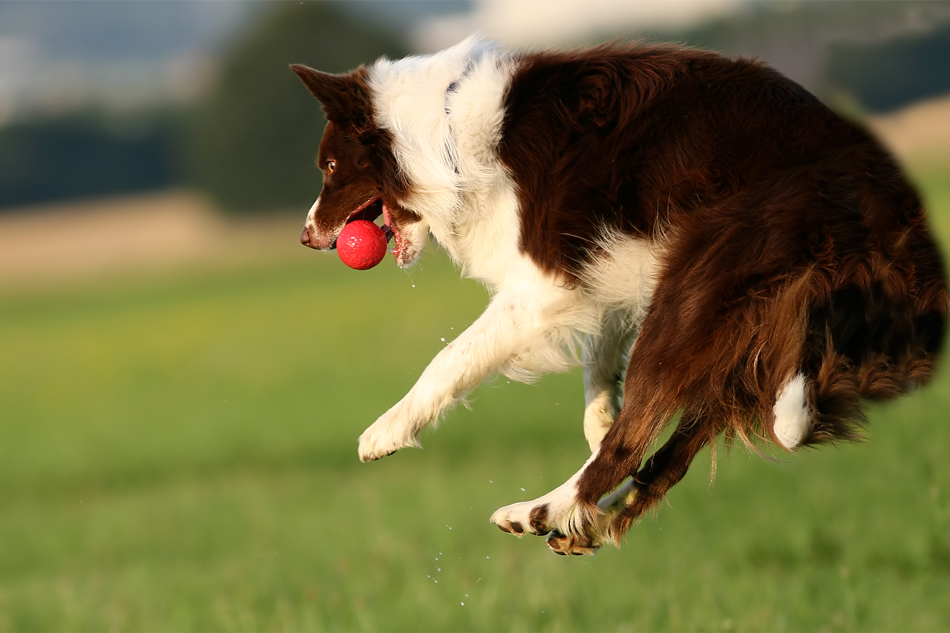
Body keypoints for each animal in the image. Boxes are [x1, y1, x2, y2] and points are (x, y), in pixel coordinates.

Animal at [294, 38, 948, 552]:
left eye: (330, 167)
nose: (306, 236)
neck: (444, 133)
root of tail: (894, 206)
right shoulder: (605, 269)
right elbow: (598, 367)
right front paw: (596, 418)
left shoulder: (542, 285)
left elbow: (451, 358)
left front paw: (386, 431)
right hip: (740, 321)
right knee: (669, 455)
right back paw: (583, 521)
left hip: (700, 286)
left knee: (634, 444)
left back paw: (541, 511)